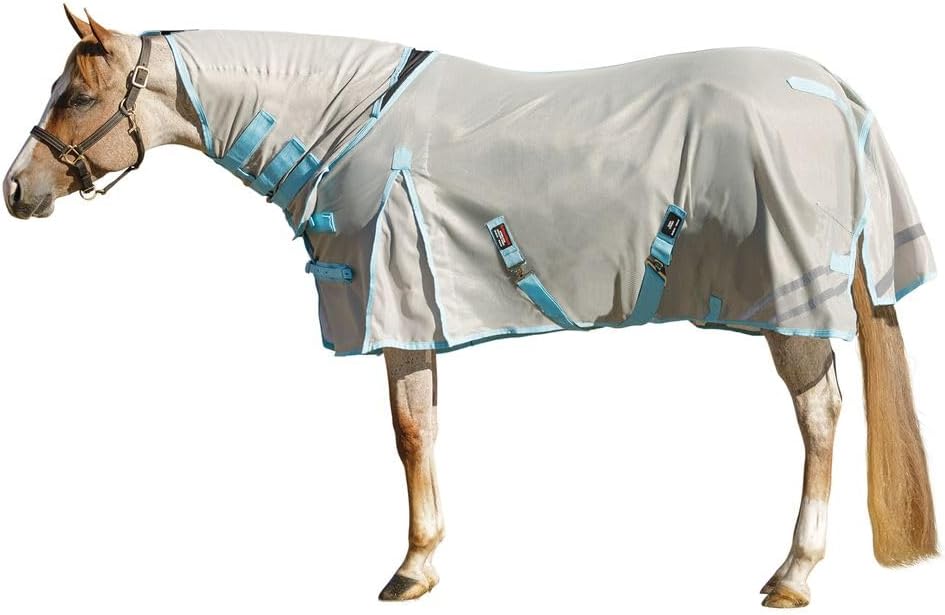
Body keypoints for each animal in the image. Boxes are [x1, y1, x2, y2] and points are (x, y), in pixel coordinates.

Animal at [3, 8, 937, 608]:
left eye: (76, 97)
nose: (17, 188)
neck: (348, 119)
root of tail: (829, 87)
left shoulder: (394, 310)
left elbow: (407, 433)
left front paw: (409, 570)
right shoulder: (416, 320)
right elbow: (425, 426)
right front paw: (425, 559)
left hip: (790, 305)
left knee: (820, 416)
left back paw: (792, 575)